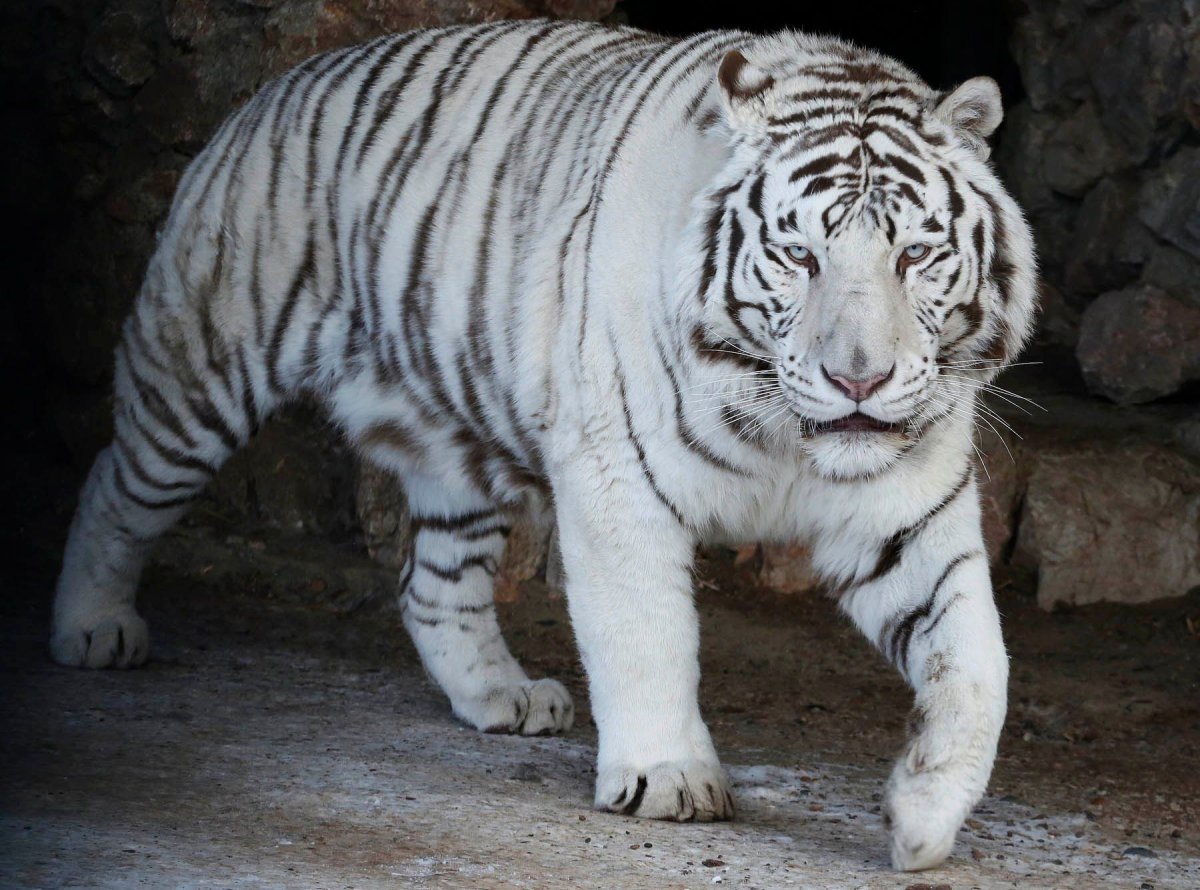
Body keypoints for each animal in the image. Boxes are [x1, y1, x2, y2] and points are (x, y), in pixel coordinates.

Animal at [50, 19, 1037, 871]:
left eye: (915, 256)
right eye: (800, 258)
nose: (858, 380)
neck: (785, 434)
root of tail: (272, 88)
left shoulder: (910, 510)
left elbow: (978, 664)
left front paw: (922, 818)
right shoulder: (618, 477)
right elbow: (645, 632)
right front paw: (669, 779)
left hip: (455, 443)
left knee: (431, 585)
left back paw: (502, 695)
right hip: (201, 367)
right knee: (113, 484)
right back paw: (93, 628)